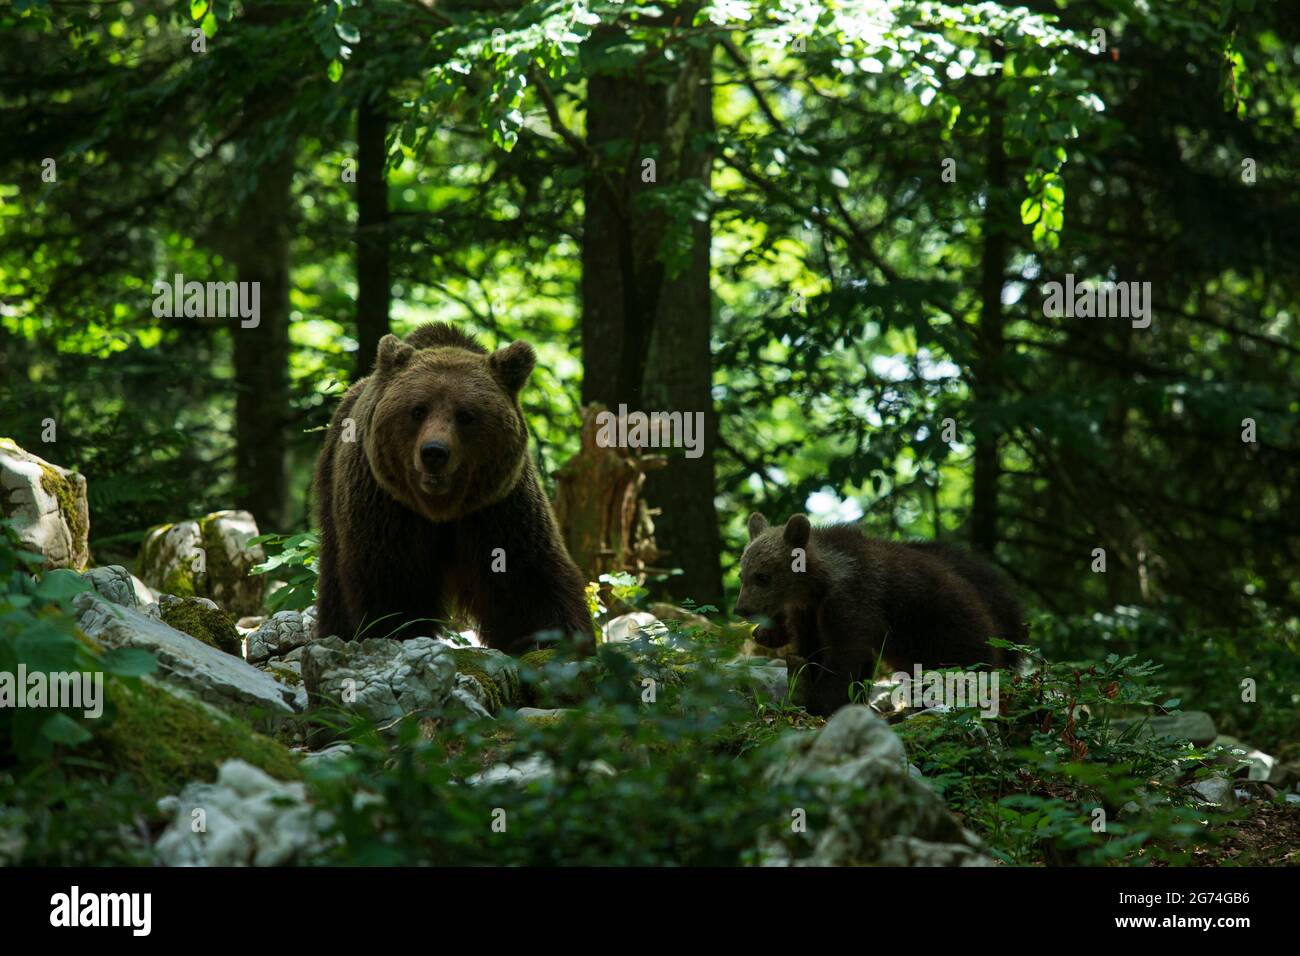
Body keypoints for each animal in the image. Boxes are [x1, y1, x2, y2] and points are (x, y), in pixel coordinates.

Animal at [312, 325, 595, 655]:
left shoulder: (498, 509)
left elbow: (527, 579)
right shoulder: (387, 505)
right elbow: (392, 580)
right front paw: (396, 631)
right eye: (418, 410)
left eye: (466, 415)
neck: (441, 509)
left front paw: (558, 640)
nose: (434, 452)